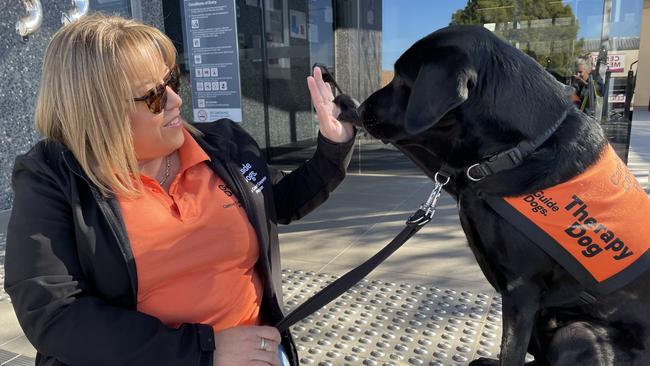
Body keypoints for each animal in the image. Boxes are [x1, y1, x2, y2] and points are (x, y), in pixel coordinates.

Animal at [340, 24, 648, 364]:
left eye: (400, 80)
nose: (360, 107)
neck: (522, 147)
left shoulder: (521, 291)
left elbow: (510, 353)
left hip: (577, 332)